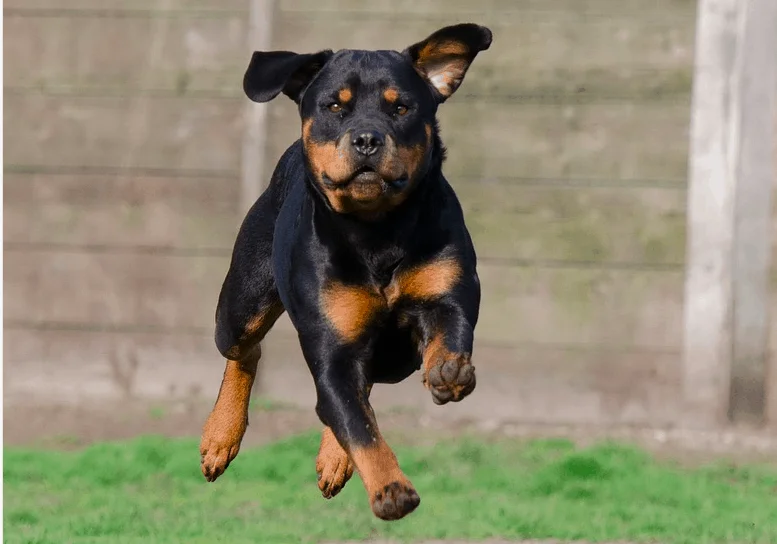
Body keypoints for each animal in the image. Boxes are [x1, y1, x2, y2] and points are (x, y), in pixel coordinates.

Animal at [200, 23, 492, 520]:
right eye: (335, 106)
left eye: (401, 107)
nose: (368, 138)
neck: (377, 230)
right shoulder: (332, 343)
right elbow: (357, 425)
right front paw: (392, 490)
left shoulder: (448, 290)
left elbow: (448, 329)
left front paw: (448, 370)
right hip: (240, 305)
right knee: (246, 351)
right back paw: (220, 438)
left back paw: (333, 458)